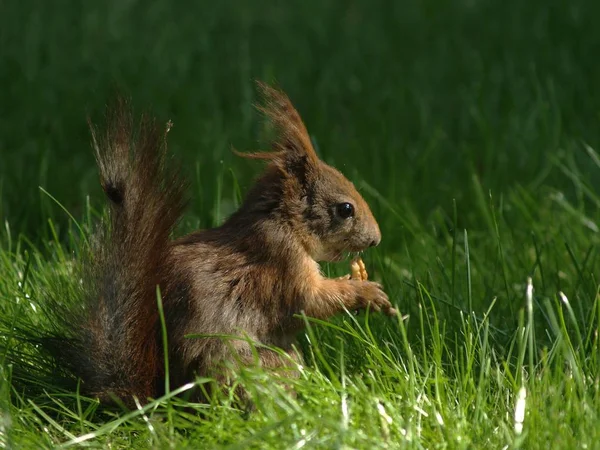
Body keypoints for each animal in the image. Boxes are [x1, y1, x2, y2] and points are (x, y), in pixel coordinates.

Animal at [49, 82, 396, 406]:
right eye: (345, 209)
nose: (376, 239)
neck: (283, 222)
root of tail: (164, 397)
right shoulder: (280, 261)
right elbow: (310, 301)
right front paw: (366, 292)